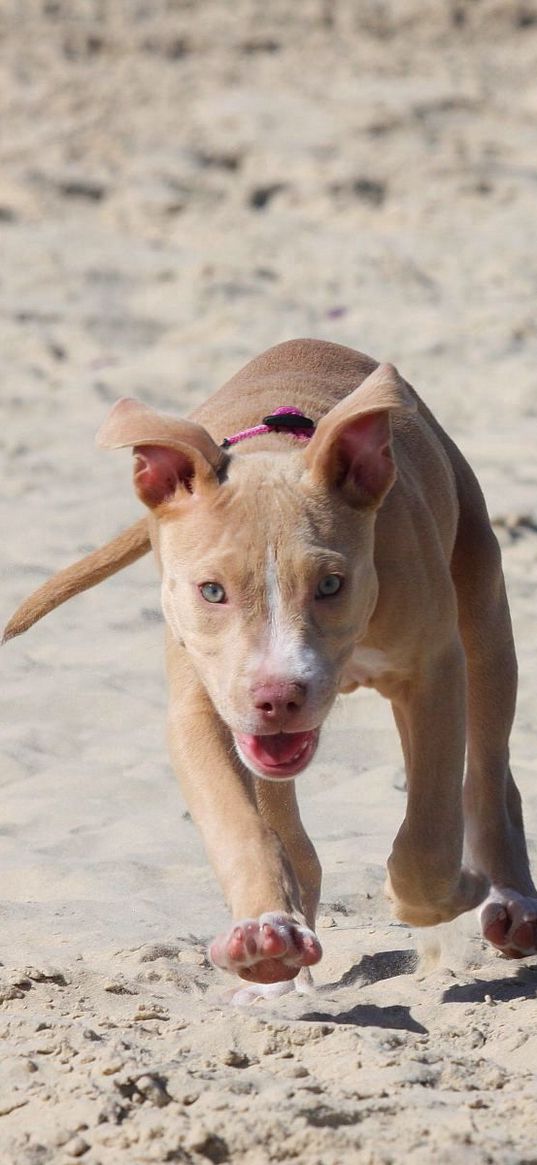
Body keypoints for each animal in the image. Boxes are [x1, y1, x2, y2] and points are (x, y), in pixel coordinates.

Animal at [5, 340, 535, 987]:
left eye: (331, 584)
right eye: (212, 591)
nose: (278, 695)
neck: (272, 452)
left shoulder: (432, 671)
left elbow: (430, 830)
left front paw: (445, 895)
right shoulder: (201, 708)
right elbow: (236, 823)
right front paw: (263, 932)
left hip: (483, 614)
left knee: (487, 768)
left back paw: (511, 903)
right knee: (291, 833)